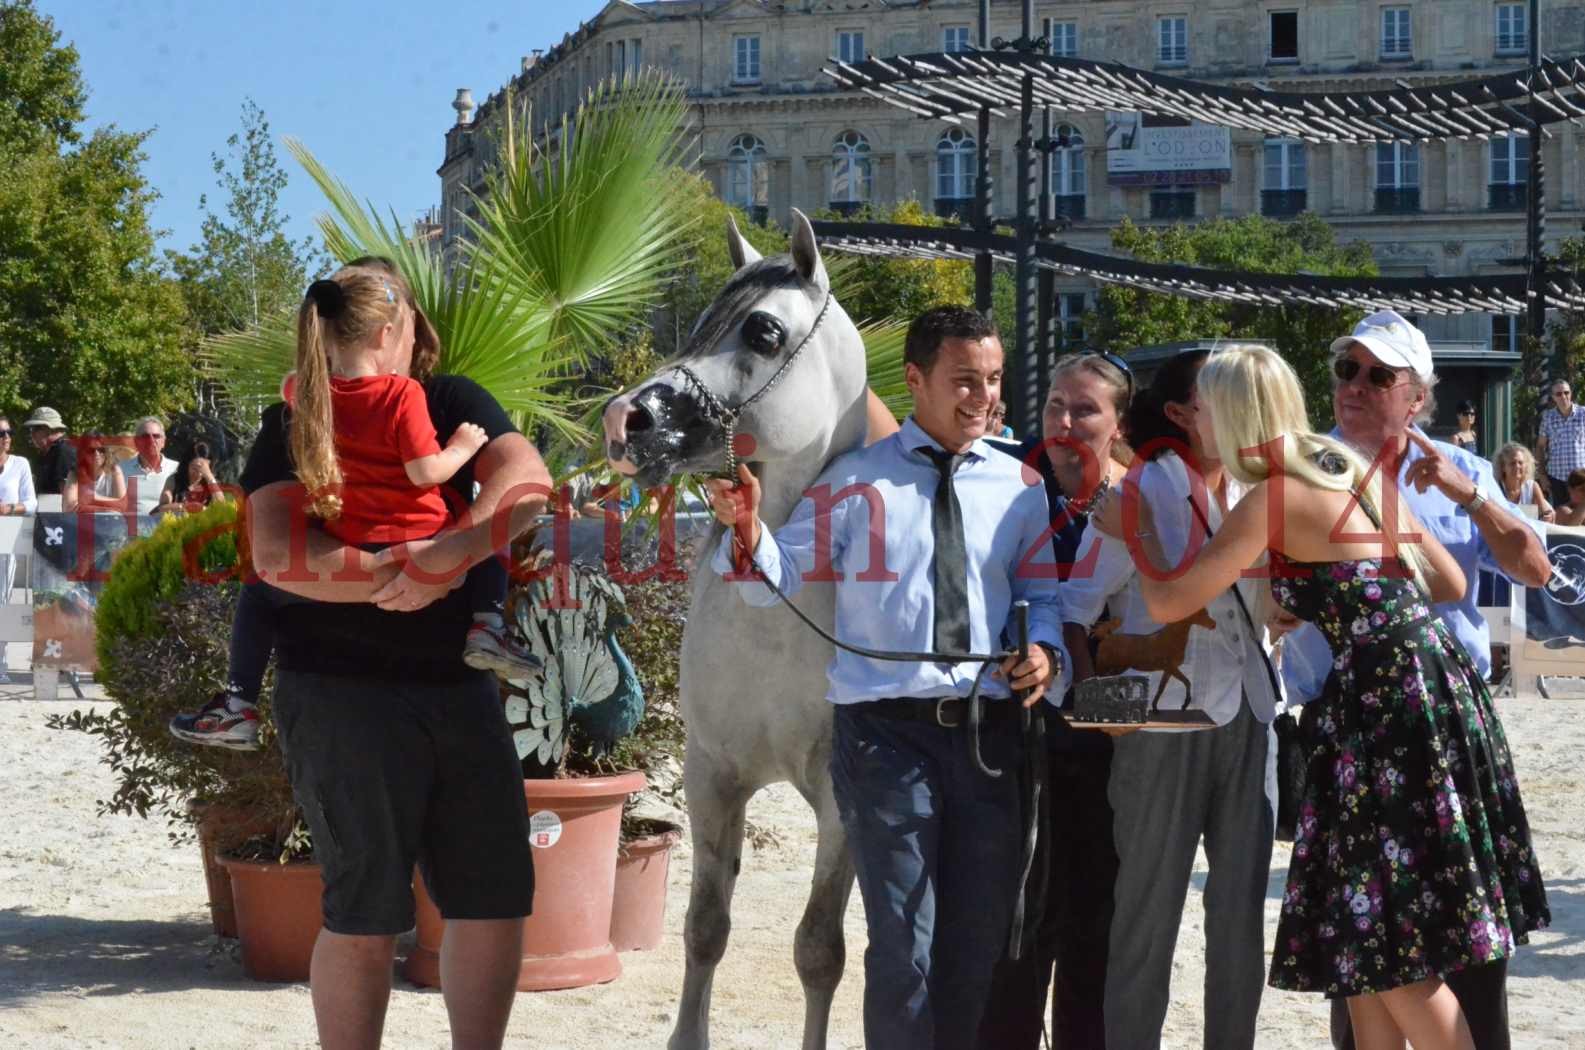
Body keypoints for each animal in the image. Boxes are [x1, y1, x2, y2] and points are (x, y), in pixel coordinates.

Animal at [602, 214, 862, 1050]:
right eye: (698, 324)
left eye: (764, 331)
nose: (625, 418)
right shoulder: (712, 776)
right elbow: (704, 926)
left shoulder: (842, 802)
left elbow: (818, 950)